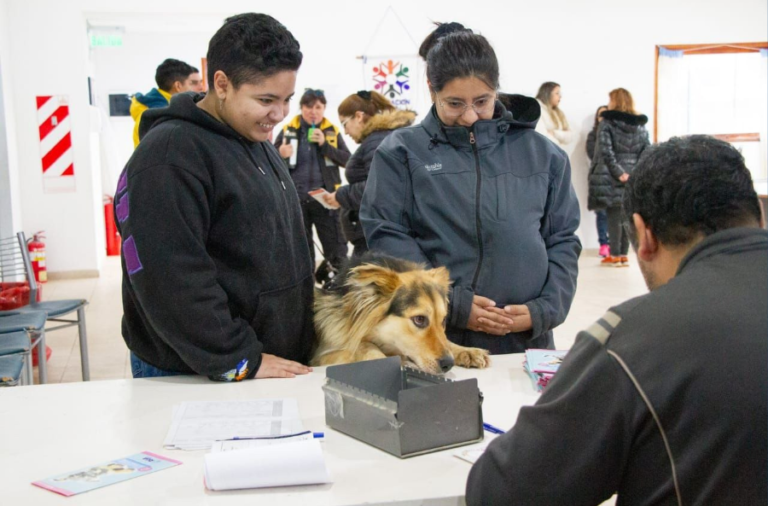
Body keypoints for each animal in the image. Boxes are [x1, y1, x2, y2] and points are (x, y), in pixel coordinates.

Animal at [312, 253, 492, 376]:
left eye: (442, 321)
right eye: (419, 319)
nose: (449, 364)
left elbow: (447, 341)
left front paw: (467, 351)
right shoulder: (323, 354)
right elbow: (360, 346)